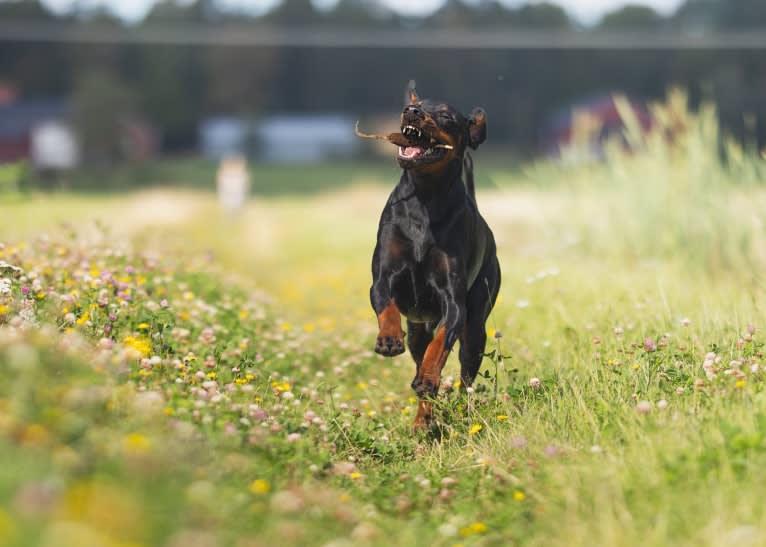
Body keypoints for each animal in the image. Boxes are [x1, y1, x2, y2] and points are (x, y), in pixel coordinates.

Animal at [362, 84, 504, 428]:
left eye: (446, 116)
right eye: (416, 105)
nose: (411, 113)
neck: (425, 197)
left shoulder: (454, 303)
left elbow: (440, 346)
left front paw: (429, 377)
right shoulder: (382, 276)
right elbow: (385, 304)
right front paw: (388, 339)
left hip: (476, 327)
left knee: (464, 375)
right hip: (417, 330)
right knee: (418, 353)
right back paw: (423, 420)